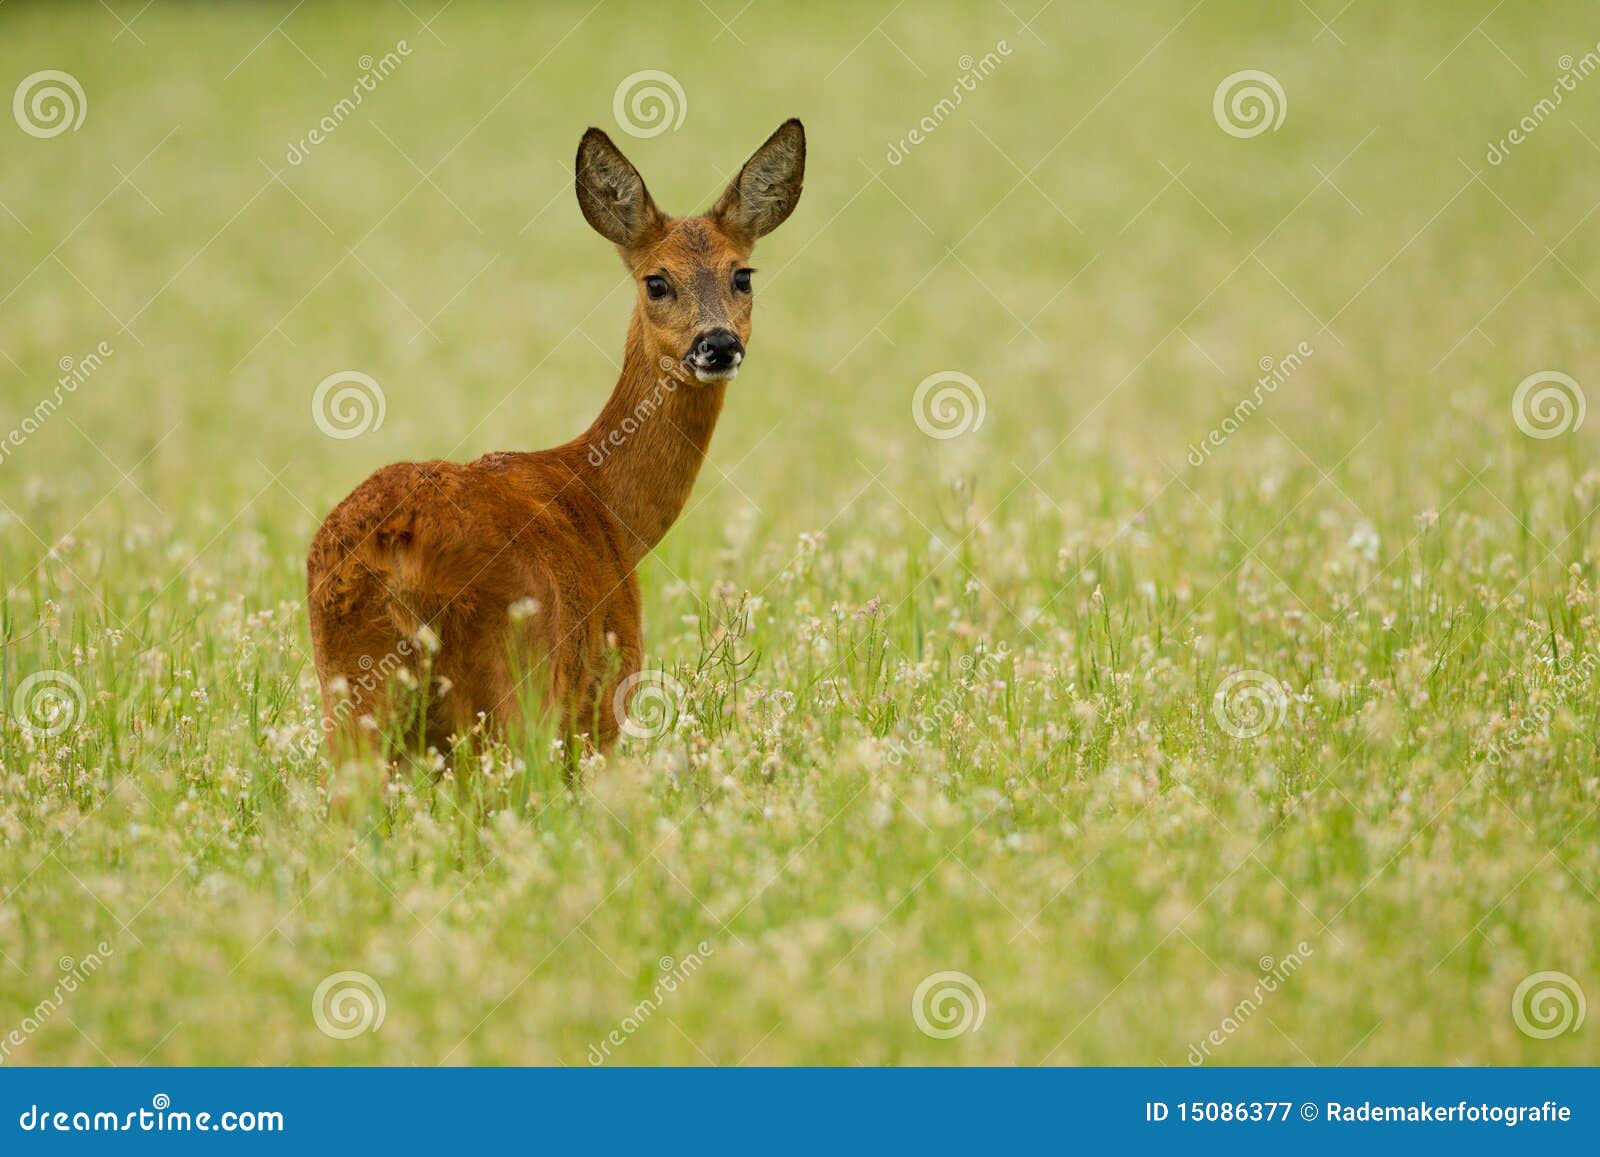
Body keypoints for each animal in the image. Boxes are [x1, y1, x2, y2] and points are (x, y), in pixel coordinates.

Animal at [305, 119, 805, 790]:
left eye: (742, 275)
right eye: (657, 281)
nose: (718, 343)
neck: (611, 509)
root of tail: (397, 546)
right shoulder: (605, 698)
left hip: (352, 697)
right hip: (513, 692)